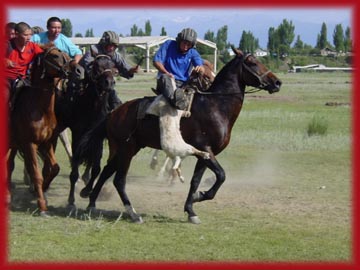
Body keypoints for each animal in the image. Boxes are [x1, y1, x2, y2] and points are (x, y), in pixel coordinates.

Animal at [7, 45, 83, 216]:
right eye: (55, 56)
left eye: (66, 53)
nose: (79, 70)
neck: (38, 108)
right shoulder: (30, 145)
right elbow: (36, 174)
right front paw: (42, 205)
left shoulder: (46, 143)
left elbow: (54, 168)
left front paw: (42, 190)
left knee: (9, 165)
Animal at [54, 54, 118, 207]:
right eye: (96, 66)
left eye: (114, 68)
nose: (109, 83)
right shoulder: (77, 135)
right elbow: (74, 169)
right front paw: (71, 200)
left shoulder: (97, 138)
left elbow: (96, 168)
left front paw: (86, 191)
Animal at [73, 46, 282, 224]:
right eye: (253, 62)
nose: (277, 82)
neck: (215, 106)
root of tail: (114, 113)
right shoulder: (206, 150)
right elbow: (221, 175)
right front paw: (200, 196)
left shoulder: (204, 154)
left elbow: (195, 181)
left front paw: (191, 209)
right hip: (127, 150)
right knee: (119, 180)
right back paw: (133, 213)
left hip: (124, 148)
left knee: (106, 171)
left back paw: (92, 203)